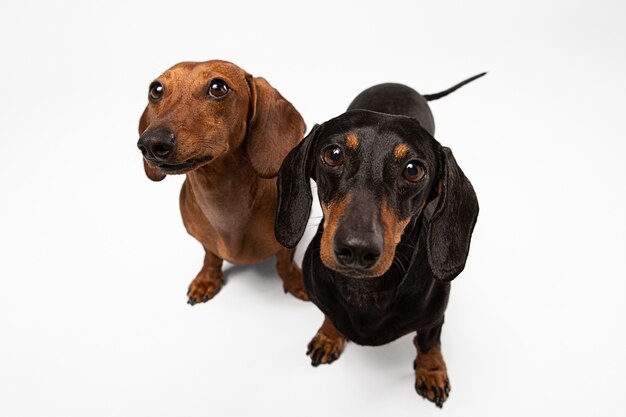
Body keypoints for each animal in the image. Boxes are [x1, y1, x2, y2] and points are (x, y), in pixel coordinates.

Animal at [140, 59, 310, 302]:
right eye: (156, 90)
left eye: (218, 87)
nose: (151, 143)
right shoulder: (205, 242)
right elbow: (211, 257)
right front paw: (207, 279)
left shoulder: (287, 244)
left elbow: (285, 262)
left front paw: (295, 280)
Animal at [272, 73, 482, 404]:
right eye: (333, 154)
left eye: (413, 169)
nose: (356, 250)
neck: (365, 291)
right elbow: (330, 316)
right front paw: (328, 337)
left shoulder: (435, 318)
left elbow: (429, 343)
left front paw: (432, 371)